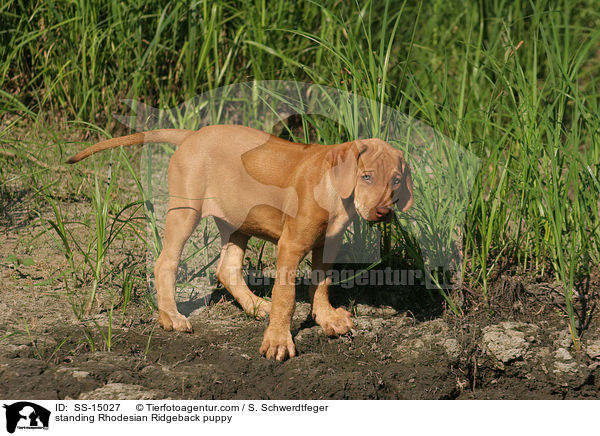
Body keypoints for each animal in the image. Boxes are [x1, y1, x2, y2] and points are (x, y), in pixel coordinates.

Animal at [67, 123, 412, 362]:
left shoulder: (328, 244)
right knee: (166, 262)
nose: (383, 211)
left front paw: (326, 317)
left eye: (396, 180)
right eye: (366, 176)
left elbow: (321, 283)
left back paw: (256, 306)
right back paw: (171, 317)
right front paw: (278, 340)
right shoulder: (291, 245)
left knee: (227, 269)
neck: (334, 191)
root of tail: (192, 135)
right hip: (186, 211)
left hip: (238, 221)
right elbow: (286, 296)